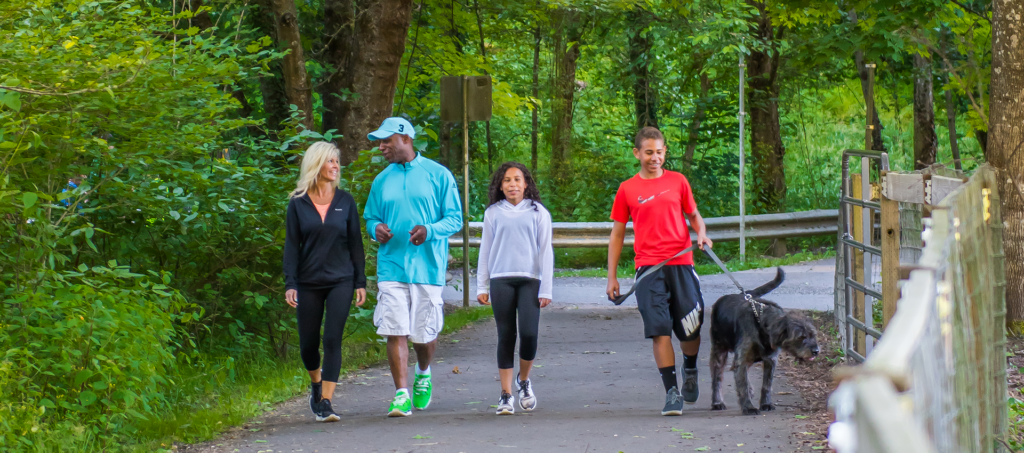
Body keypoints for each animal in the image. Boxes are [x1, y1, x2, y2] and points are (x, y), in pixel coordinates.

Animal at [708, 266, 819, 416]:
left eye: (813, 335)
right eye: (801, 337)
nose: (816, 351)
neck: (761, 323)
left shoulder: (770, 361)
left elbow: (766, 385)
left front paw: (765, 404)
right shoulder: (742, 359)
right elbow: (742, 383)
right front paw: (748, 407)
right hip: (719, 351)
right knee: (717, 377)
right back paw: (717, 402)